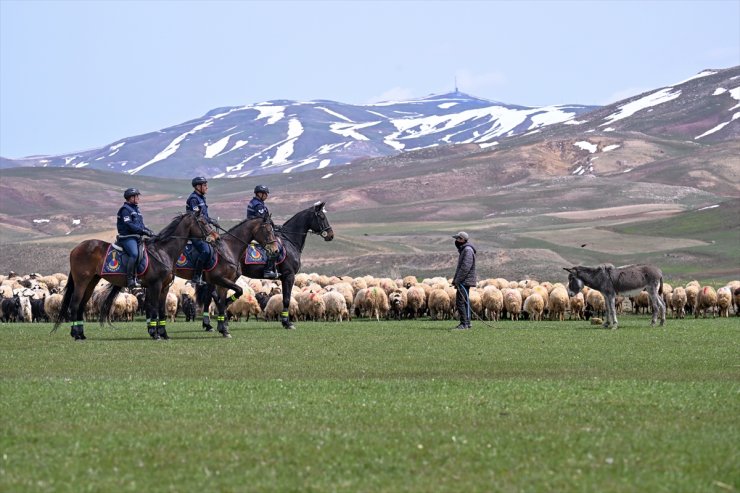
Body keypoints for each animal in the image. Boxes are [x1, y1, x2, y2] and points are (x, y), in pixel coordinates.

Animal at [52, 211, 217, 342]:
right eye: (203, 222)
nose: (215, 237)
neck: (162, 251)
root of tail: (76, 248)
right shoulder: (155, 285)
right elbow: (154, 309)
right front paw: (155, 334)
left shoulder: (164, 288)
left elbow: (161, 310)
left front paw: (163, 334)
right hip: (81, 282)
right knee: (74, 305)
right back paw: (76, 335)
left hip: (91, 283)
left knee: (81, 306)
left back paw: (81, 334)